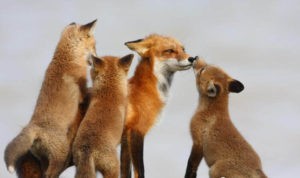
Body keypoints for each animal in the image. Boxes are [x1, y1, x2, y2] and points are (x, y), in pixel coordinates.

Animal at [4, 19, 96, 178]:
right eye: (94, 46)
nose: (96, 57)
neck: (68, 57)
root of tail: (34, 127)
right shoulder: (82, 91)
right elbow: (88, 93)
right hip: (60, 153)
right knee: (51, 173)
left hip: (44, 158)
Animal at [120, 34, 198, 178]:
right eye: (170, 51)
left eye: (183, 49)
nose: (192, 58)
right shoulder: (137, 131)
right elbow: (140, 171)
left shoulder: (126, 136)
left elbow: (125, 171)